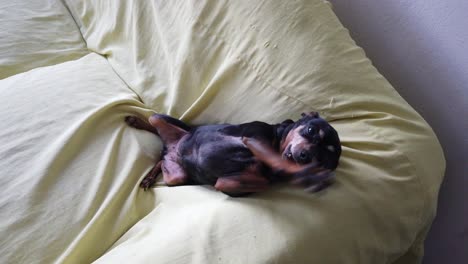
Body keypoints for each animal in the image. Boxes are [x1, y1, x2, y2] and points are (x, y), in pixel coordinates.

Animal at [126, 111, 342, 196]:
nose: (305, 156)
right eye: (311, 130)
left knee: (161, 160)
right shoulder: (253, 137)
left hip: (177, 176)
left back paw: (151, 175)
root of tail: (170, 147)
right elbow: (276, 159)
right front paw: (306, 175)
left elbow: (264, 180)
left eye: (323, 159)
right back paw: (136, 121)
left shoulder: (225, 183)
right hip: (160, 119)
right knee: (153, 122)